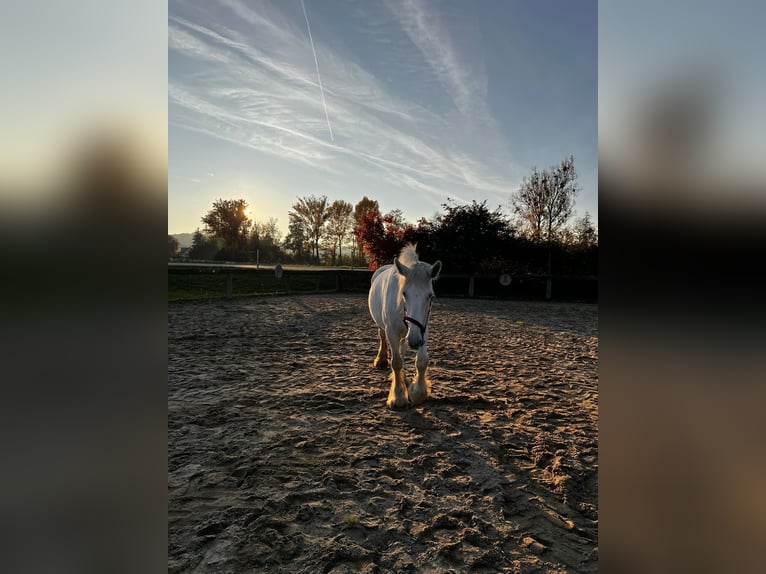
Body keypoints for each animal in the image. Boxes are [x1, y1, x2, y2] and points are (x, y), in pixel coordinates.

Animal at [368, 243, 441, 409]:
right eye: (404, 294)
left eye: (430, 296)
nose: (414, 340)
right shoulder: (392, 332)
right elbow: (396, 362)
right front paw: (398, 397)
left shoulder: (422, 330)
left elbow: (421, 361)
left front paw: (417, 392)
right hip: (384, 328)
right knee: (383, 339)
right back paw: (381, 360)